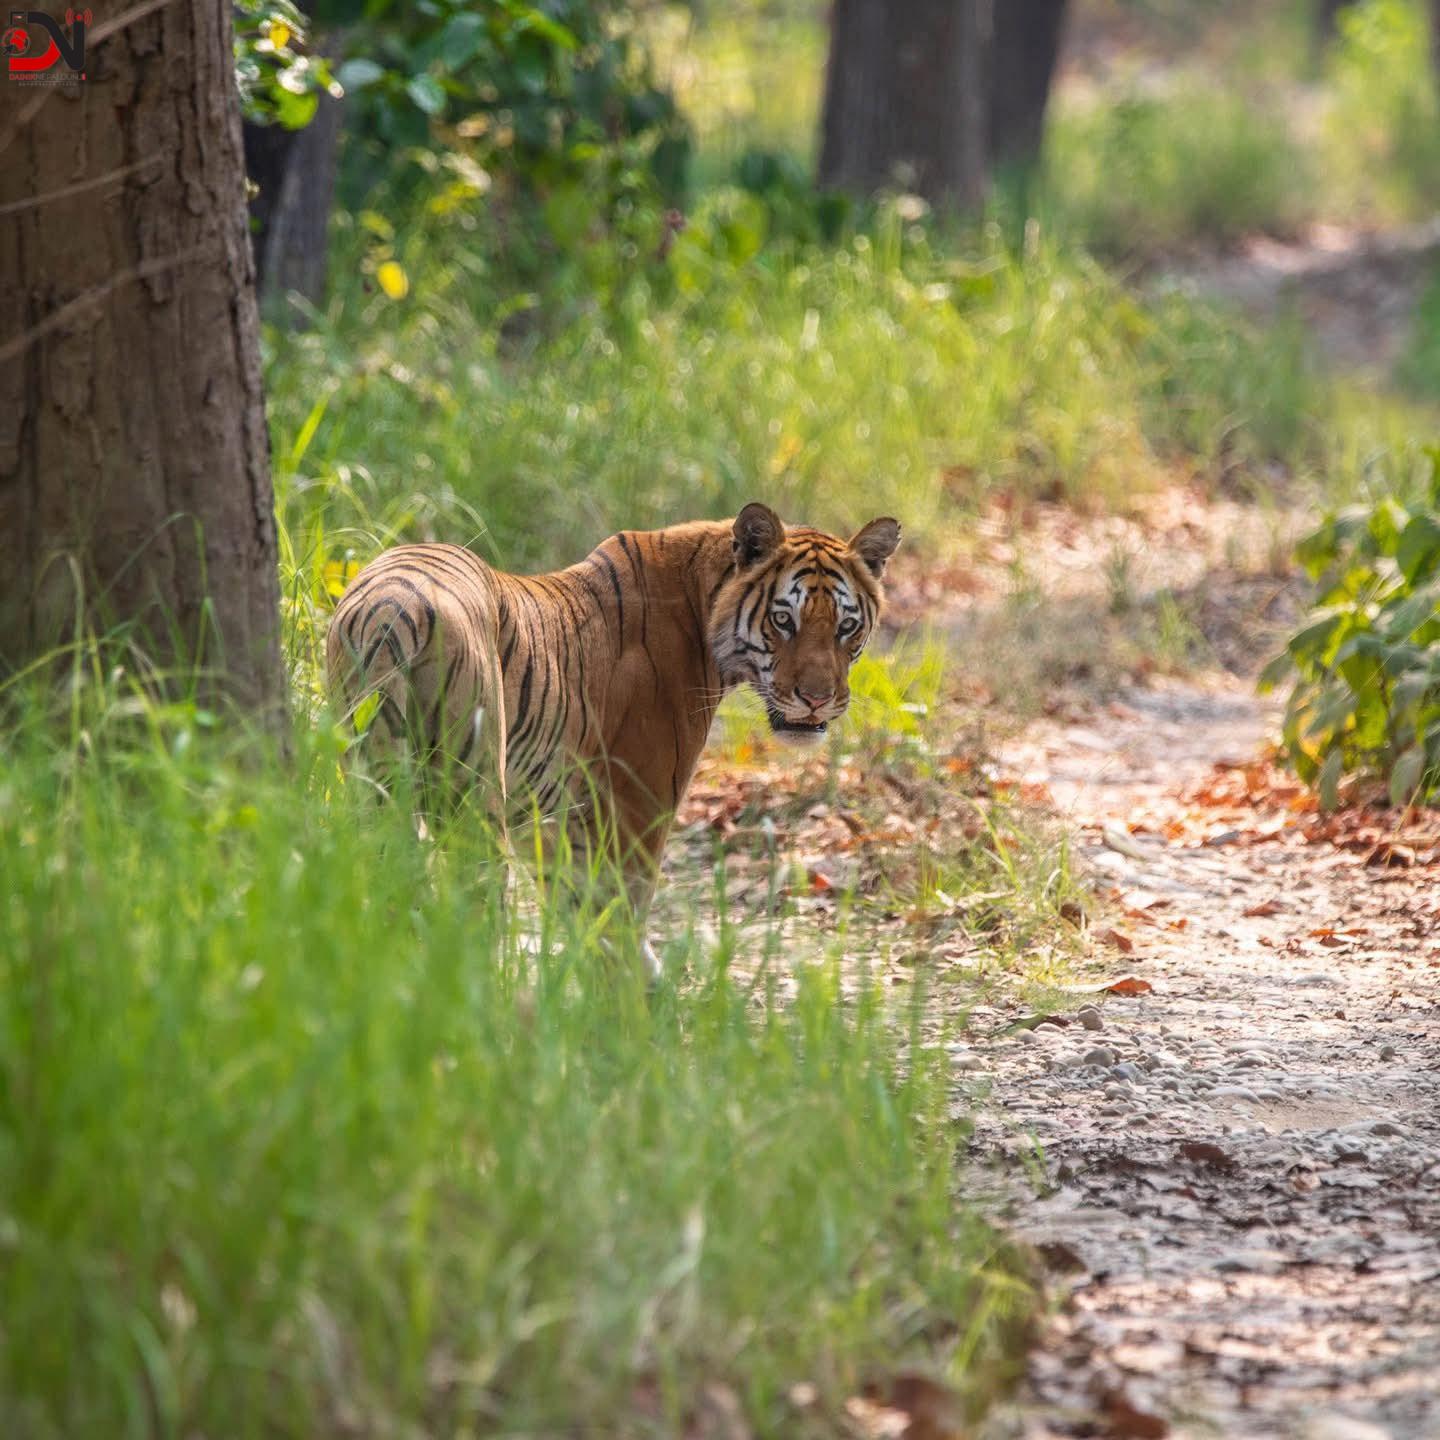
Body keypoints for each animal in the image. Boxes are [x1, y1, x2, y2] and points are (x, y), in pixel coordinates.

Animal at [326, 502, 901, 974]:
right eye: (784, 620)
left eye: (846, 627)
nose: (816, 699)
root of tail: (391, 611)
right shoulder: (640, 798)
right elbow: (621, 911)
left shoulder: (556, 818)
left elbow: (582, 909)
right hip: (470, 793)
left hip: (369, 785)